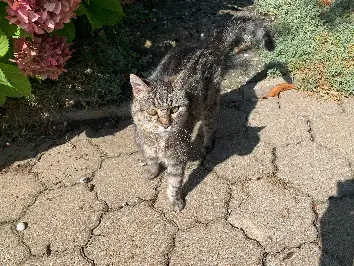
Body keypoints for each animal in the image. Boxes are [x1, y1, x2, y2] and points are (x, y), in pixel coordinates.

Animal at [130, 16, 274, 212]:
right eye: (152, 111)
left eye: (174, 109)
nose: (166, 124)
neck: (158, 141)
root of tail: (209, 47)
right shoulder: (145, 147)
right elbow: (151, 161)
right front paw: (152, 172)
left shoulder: (177, 158)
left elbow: (174, 182)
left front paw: (175, 200)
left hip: (209, 106)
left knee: (211, 126)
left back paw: (207, 144)